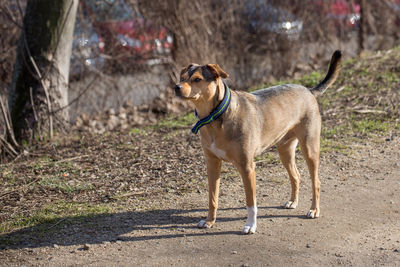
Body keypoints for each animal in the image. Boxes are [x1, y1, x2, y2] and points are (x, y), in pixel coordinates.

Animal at [173, 50, 342, 234]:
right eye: (182, 77)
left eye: (197, 79)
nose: (176, 87)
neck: (216, 117)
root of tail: (308, 90)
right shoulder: (212, 165)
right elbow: (212, 198)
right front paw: (210, 221)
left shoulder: (247, 168)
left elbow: (251, 203)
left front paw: (250, 225)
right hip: (285, 150)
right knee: (296, 176)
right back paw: (293, 202)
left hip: (309, 149)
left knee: (316, 182)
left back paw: (314, 210)